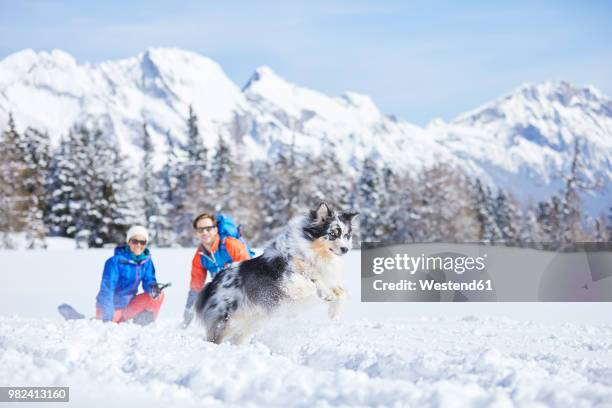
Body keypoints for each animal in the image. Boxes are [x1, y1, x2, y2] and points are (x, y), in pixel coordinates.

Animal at [195, 202, 358, 342]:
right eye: (332, 234)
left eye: (346, 235)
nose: (345, 249)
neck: (313, 254)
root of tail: (213, 282)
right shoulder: (286, 278)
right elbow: (309, 281)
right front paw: (326, 294)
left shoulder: (329, 278)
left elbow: (342, 292)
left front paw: (334, 313)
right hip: (225, 319)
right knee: (216, 337)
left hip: (251, 322)